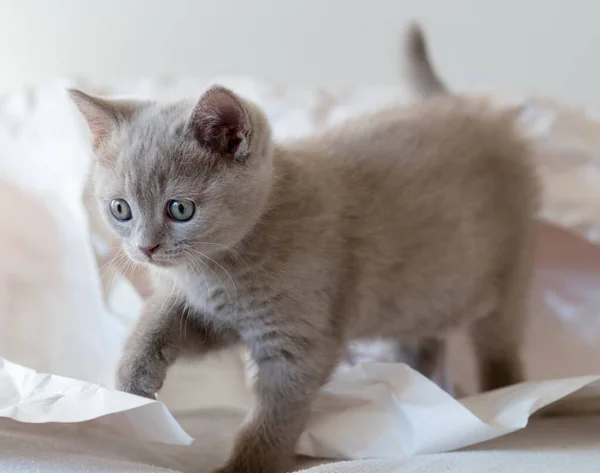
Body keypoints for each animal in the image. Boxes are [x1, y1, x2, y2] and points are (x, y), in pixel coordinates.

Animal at [71, 40, 540, 472]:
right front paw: (131, 379)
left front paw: (245, 466)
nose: (145, 247)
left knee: (499, 341)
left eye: (180, 209)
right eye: (120, 210)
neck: (219, 270)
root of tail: (461, 105)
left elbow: (274, 417)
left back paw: (508, 395)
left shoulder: (295, 342)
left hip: (509, 270)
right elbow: (160, 317)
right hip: (423, 292)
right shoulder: (216, 316)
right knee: (423, 337)